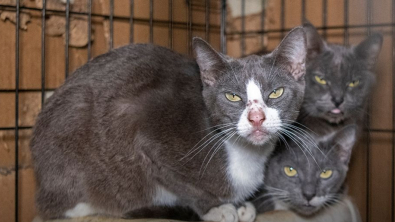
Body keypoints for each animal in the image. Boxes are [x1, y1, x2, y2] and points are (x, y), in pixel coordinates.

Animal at [30, 26, 310, 221]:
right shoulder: (140, 127)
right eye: (232, 96)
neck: (246, 154)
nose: (256, 118)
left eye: (276, 92)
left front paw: (240, 207)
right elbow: (182, 183)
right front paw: (216, 208)